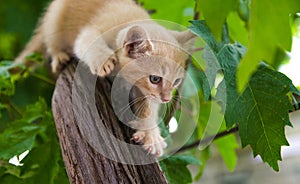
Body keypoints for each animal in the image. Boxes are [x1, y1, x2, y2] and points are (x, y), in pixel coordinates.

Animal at [16, 0, 196, 157]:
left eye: (177, 82)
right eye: (155, 79)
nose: (166, 99)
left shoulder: (144, 92)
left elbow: (148, 108)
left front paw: (150, 135)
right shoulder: (90, 31)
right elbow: (88, 43)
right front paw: (104, 61)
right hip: (55, 20)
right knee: (52, 41)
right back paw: (59, 55)